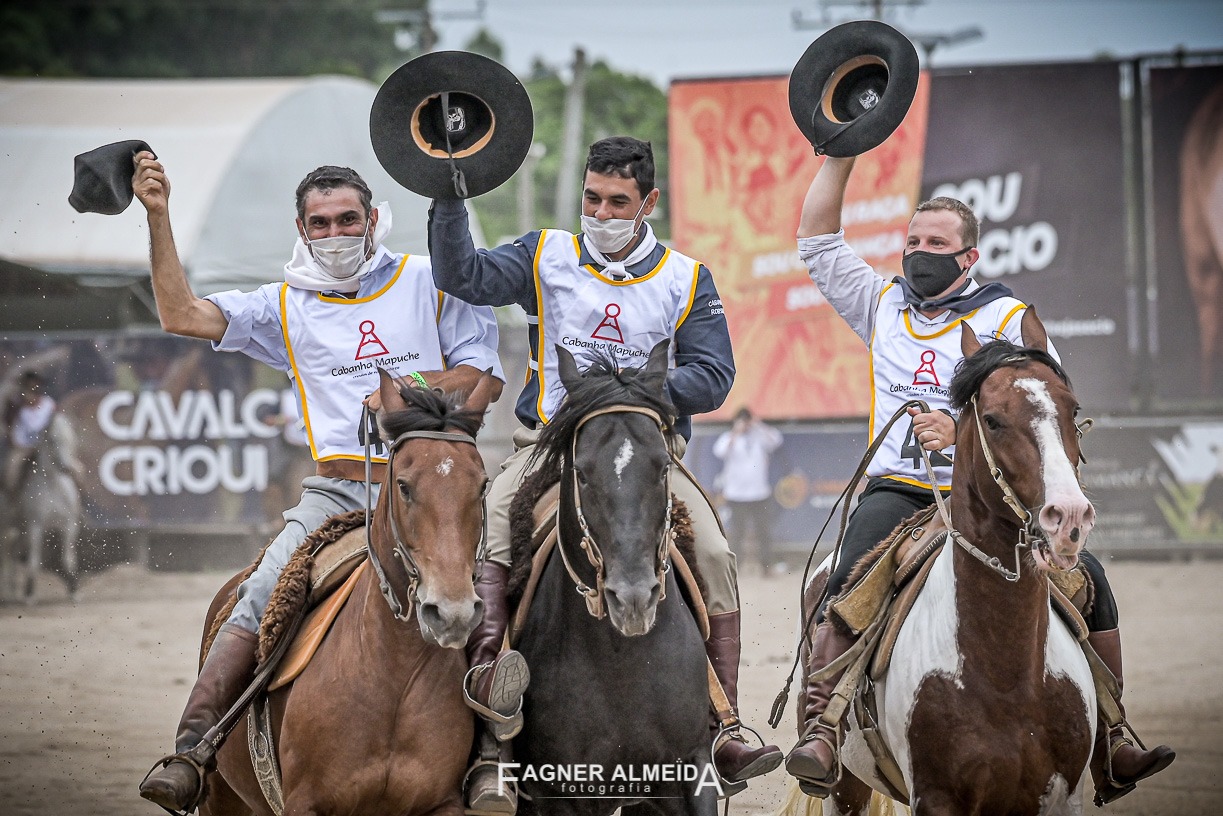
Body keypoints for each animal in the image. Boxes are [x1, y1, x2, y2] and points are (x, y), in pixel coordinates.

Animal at [1, 415, 81, 606]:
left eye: (71, 439)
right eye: (52, 440)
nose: (66, 467)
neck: (53, 485)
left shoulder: (69, 525)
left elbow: (68, 559)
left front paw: (73, 591)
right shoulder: (35, 526)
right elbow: (34, 561)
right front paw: (30, 595)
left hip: (21, 531)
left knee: (13, 553)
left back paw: (13, 591)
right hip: (8, 527)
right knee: (6, 554)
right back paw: (7, 592)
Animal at [198, 369, 494, 816]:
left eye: (481, 486)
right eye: (404, 486)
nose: (452, 612)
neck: (392, 676)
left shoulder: (442, 803)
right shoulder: (304, 803)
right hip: (220, 798)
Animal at [508, 342, 714, 816]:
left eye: (663, 468)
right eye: (582, 473)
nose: (634, 599)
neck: (621, 662)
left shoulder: (690, 773)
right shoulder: (561, 795)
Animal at [782, 308, 1100, 816]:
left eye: (1070, 410)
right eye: (992, 419)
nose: (1068, 515)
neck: (1006, 676)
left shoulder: (1064, 797)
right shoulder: (935, 797)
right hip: (844, 786)